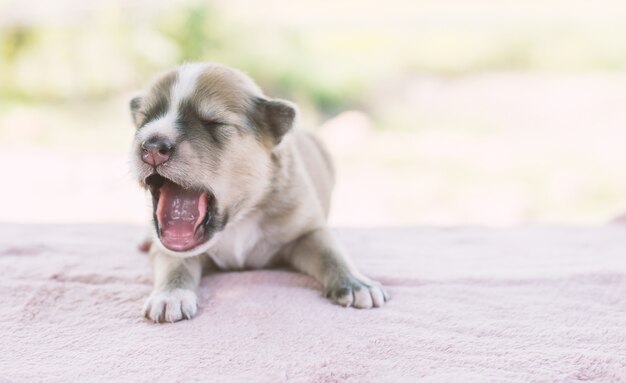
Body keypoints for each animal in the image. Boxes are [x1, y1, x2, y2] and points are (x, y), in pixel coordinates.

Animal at [129, 63, 388, 324]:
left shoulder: (308, 231)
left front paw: (356, 284)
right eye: (144, 121)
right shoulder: (168, 248)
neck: (239, 218)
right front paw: (170, 295)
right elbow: (174, 262)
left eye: (212, 123)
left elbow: (331, 253)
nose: (152, 147)